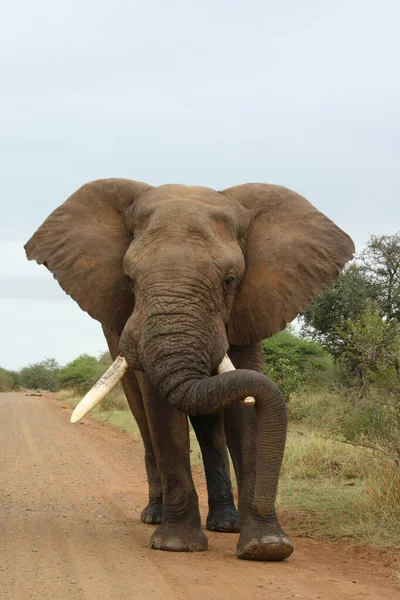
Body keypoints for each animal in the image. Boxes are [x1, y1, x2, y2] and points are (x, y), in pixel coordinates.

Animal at [24, 177, 354, 556]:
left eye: (229, 280)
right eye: (129, 279)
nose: (264, 506)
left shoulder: (251, 308)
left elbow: (244, 413)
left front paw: (266, 546)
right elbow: (162, 413)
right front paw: (176, 545)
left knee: (210, 426)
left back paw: (226, 524)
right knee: (143, 420)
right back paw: (155, 515)